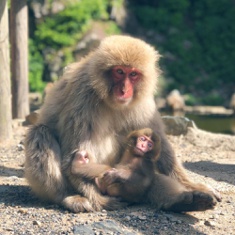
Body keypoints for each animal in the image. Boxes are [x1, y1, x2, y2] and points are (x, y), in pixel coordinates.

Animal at [24, 35, 220, 213]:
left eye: (133, 74)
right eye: (119, 72)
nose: (124, 90)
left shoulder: (144, 102)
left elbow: (159, 142)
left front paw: (193, 186)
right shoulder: (82, 96)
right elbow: (75, 153)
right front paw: (99, 201)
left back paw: (184, 201)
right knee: (40, 133)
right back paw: (68, 197)